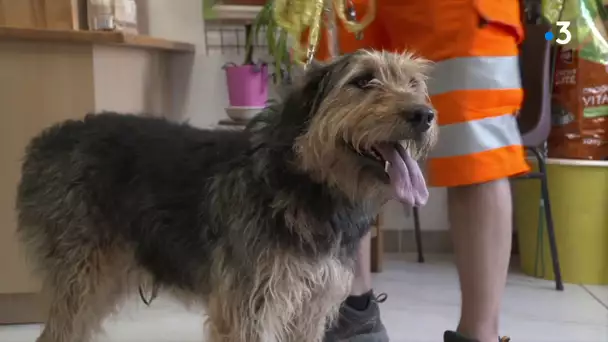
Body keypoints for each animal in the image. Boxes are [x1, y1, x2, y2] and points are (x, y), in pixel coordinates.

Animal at [16, 49, 434, 340]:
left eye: (413, 84)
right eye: (362, 81)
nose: (425, 114)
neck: (304, 183)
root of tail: (47, 139)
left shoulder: (309, 309)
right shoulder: (248, 307)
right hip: (82, 277)